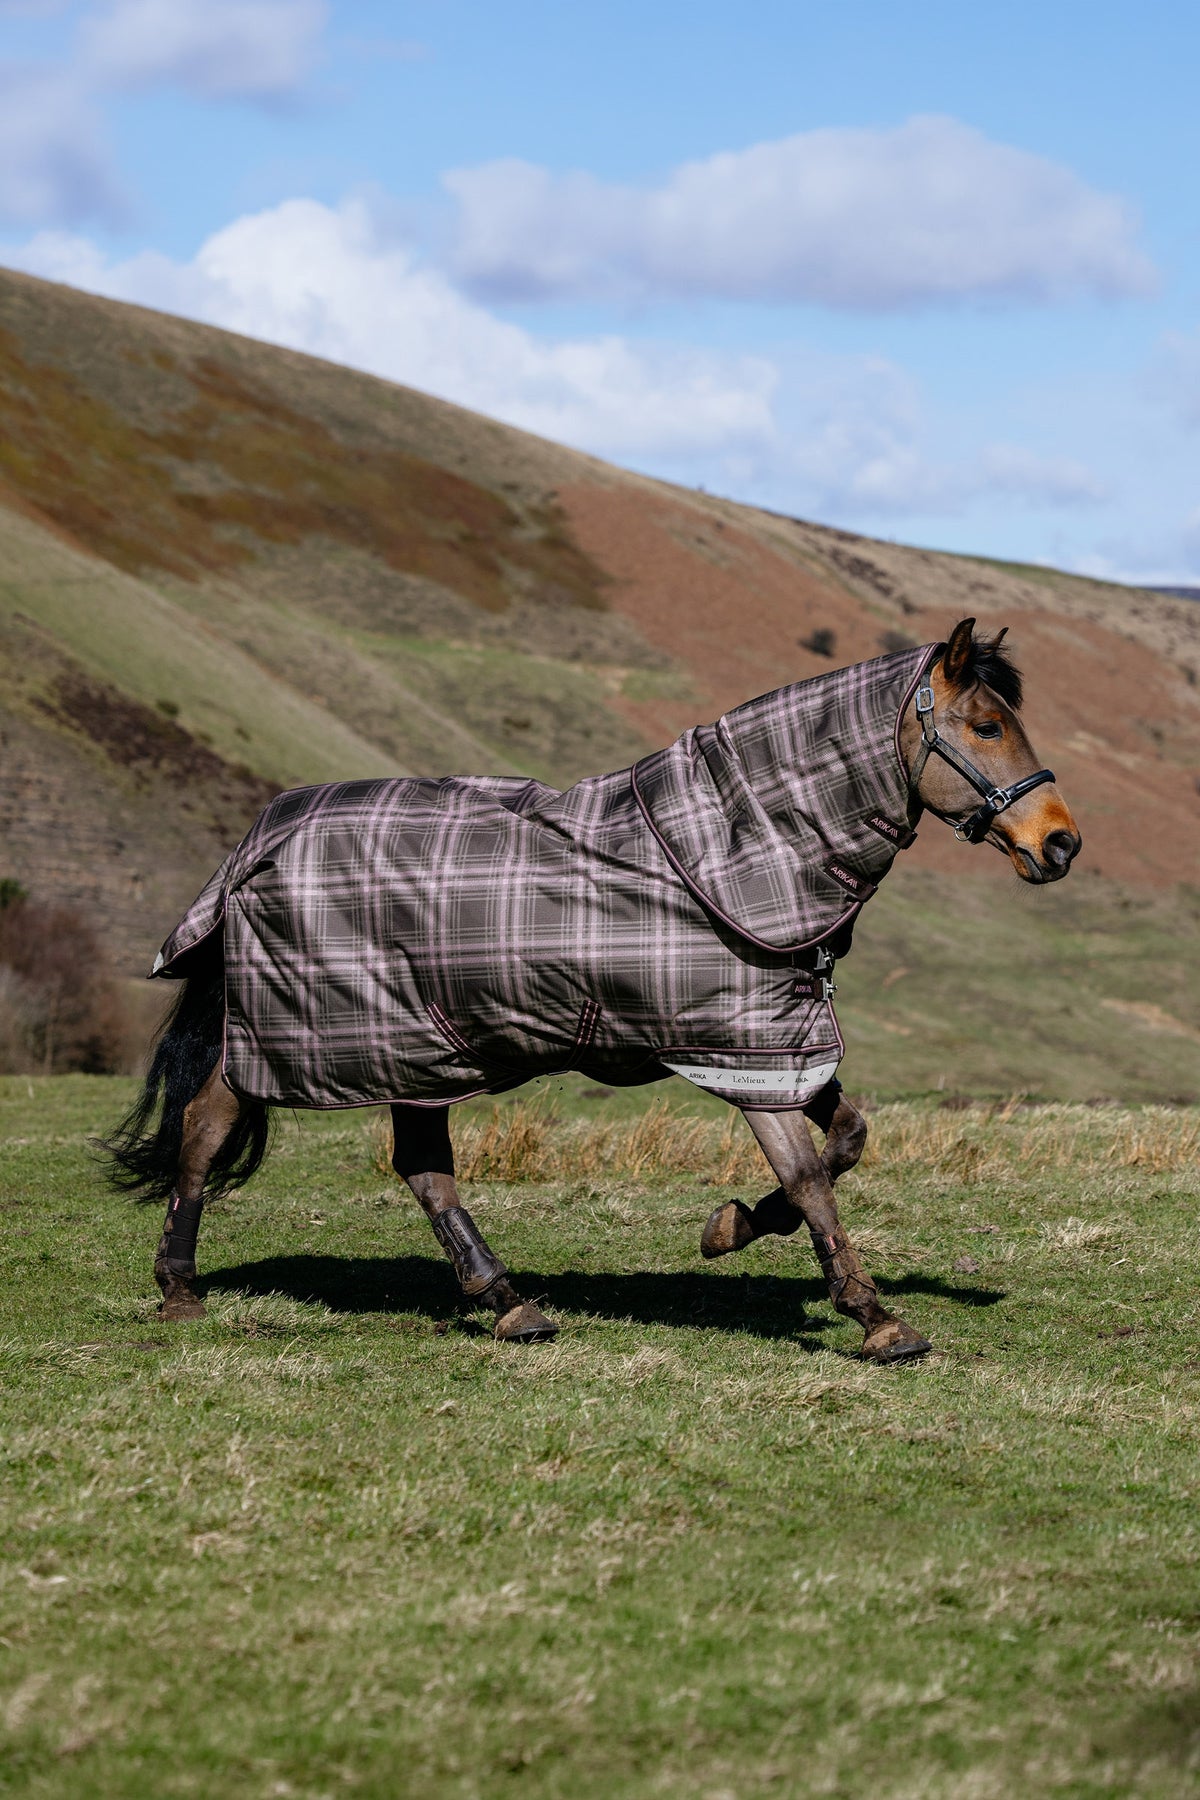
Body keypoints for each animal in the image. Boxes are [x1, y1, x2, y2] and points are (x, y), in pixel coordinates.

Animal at [103, 618, 1080, 1363]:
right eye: (986, 726)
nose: (1061, 843)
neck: (742, 847)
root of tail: (262, 838)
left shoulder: (775, 1043)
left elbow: (847, 1139)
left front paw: (728, 1226)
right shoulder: (741, 1049)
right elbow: (808, 1176)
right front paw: (875, 1317)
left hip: (420, 1047)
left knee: (423, 1167)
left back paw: (508, 1302)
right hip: (316, 1036)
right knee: (208, 1127)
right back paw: (180, 1288)